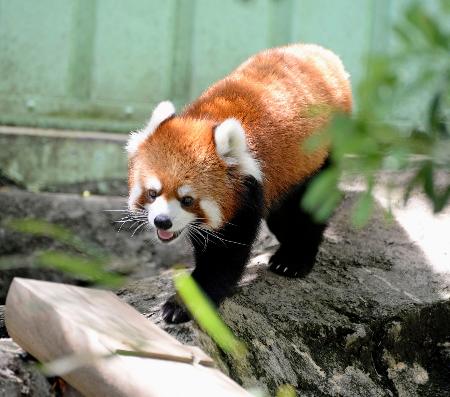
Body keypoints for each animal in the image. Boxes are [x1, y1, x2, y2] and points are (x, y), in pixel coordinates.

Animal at [125, 44, 352, 322]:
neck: (205, 119)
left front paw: (182, 305)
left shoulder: (248, 191)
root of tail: (320, 52)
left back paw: (294, 259)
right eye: (152, 193)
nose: (162, 221)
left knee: (311, 206)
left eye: (187, 200)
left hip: (324, 151)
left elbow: (224, 258)